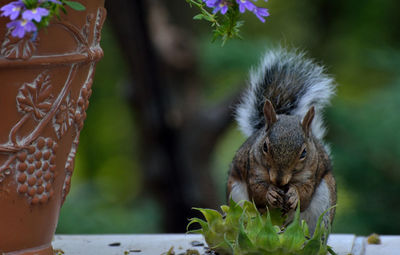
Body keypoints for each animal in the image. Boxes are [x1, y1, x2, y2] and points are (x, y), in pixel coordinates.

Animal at [227, 48, 336, 235]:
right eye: (264, 146)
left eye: (304, 152)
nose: (278, 181)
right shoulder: (252, 168)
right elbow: (256, 192)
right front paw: (270, 193)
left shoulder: (312, 172)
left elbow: (305, 195)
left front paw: (294, 194)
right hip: (236, 198)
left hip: (324, 202)